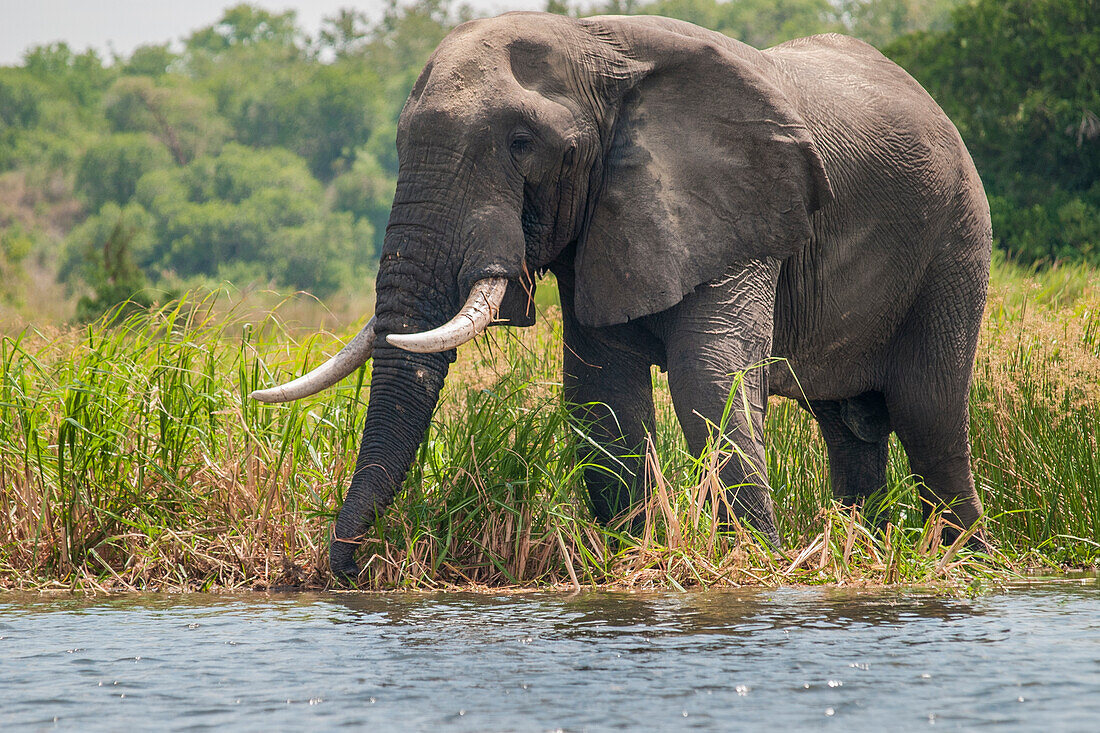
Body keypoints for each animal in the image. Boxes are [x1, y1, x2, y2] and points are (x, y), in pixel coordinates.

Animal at [253, 11, 994, 576]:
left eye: (522, 143)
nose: (351, 569)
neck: (593, 45)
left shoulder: (741, 207)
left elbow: (709, 380)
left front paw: (757, 566)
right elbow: (601, 396)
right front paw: (629, 562)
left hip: (958, 238)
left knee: (928, 413)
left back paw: (965, 564)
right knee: (850, 426)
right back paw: (868, 554)